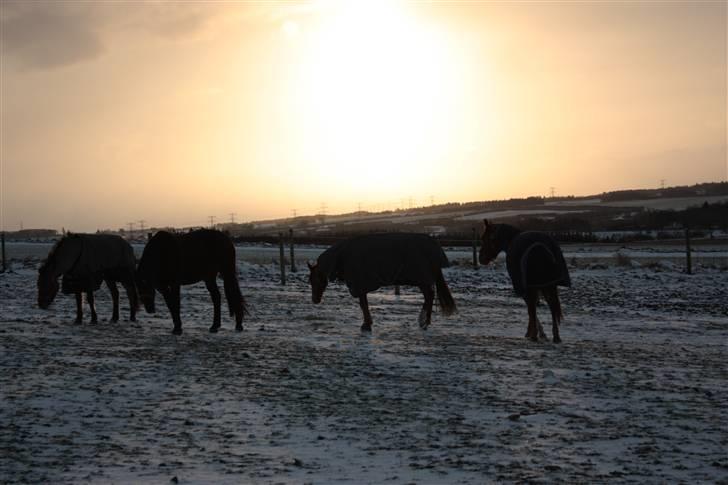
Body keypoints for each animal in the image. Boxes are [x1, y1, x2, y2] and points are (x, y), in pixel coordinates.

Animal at [310, 233, 458, 330]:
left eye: (314, 280)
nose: (315, 300)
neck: (343, 255)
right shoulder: (362, 285)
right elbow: (364, 304)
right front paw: (368, 323)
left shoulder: (360, 285)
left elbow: (363, 305)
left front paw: (366, 325)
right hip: (422, 280)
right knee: (429, 296)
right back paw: (425, 321)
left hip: (422, 280)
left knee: (429, 296)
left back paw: (424, 321)